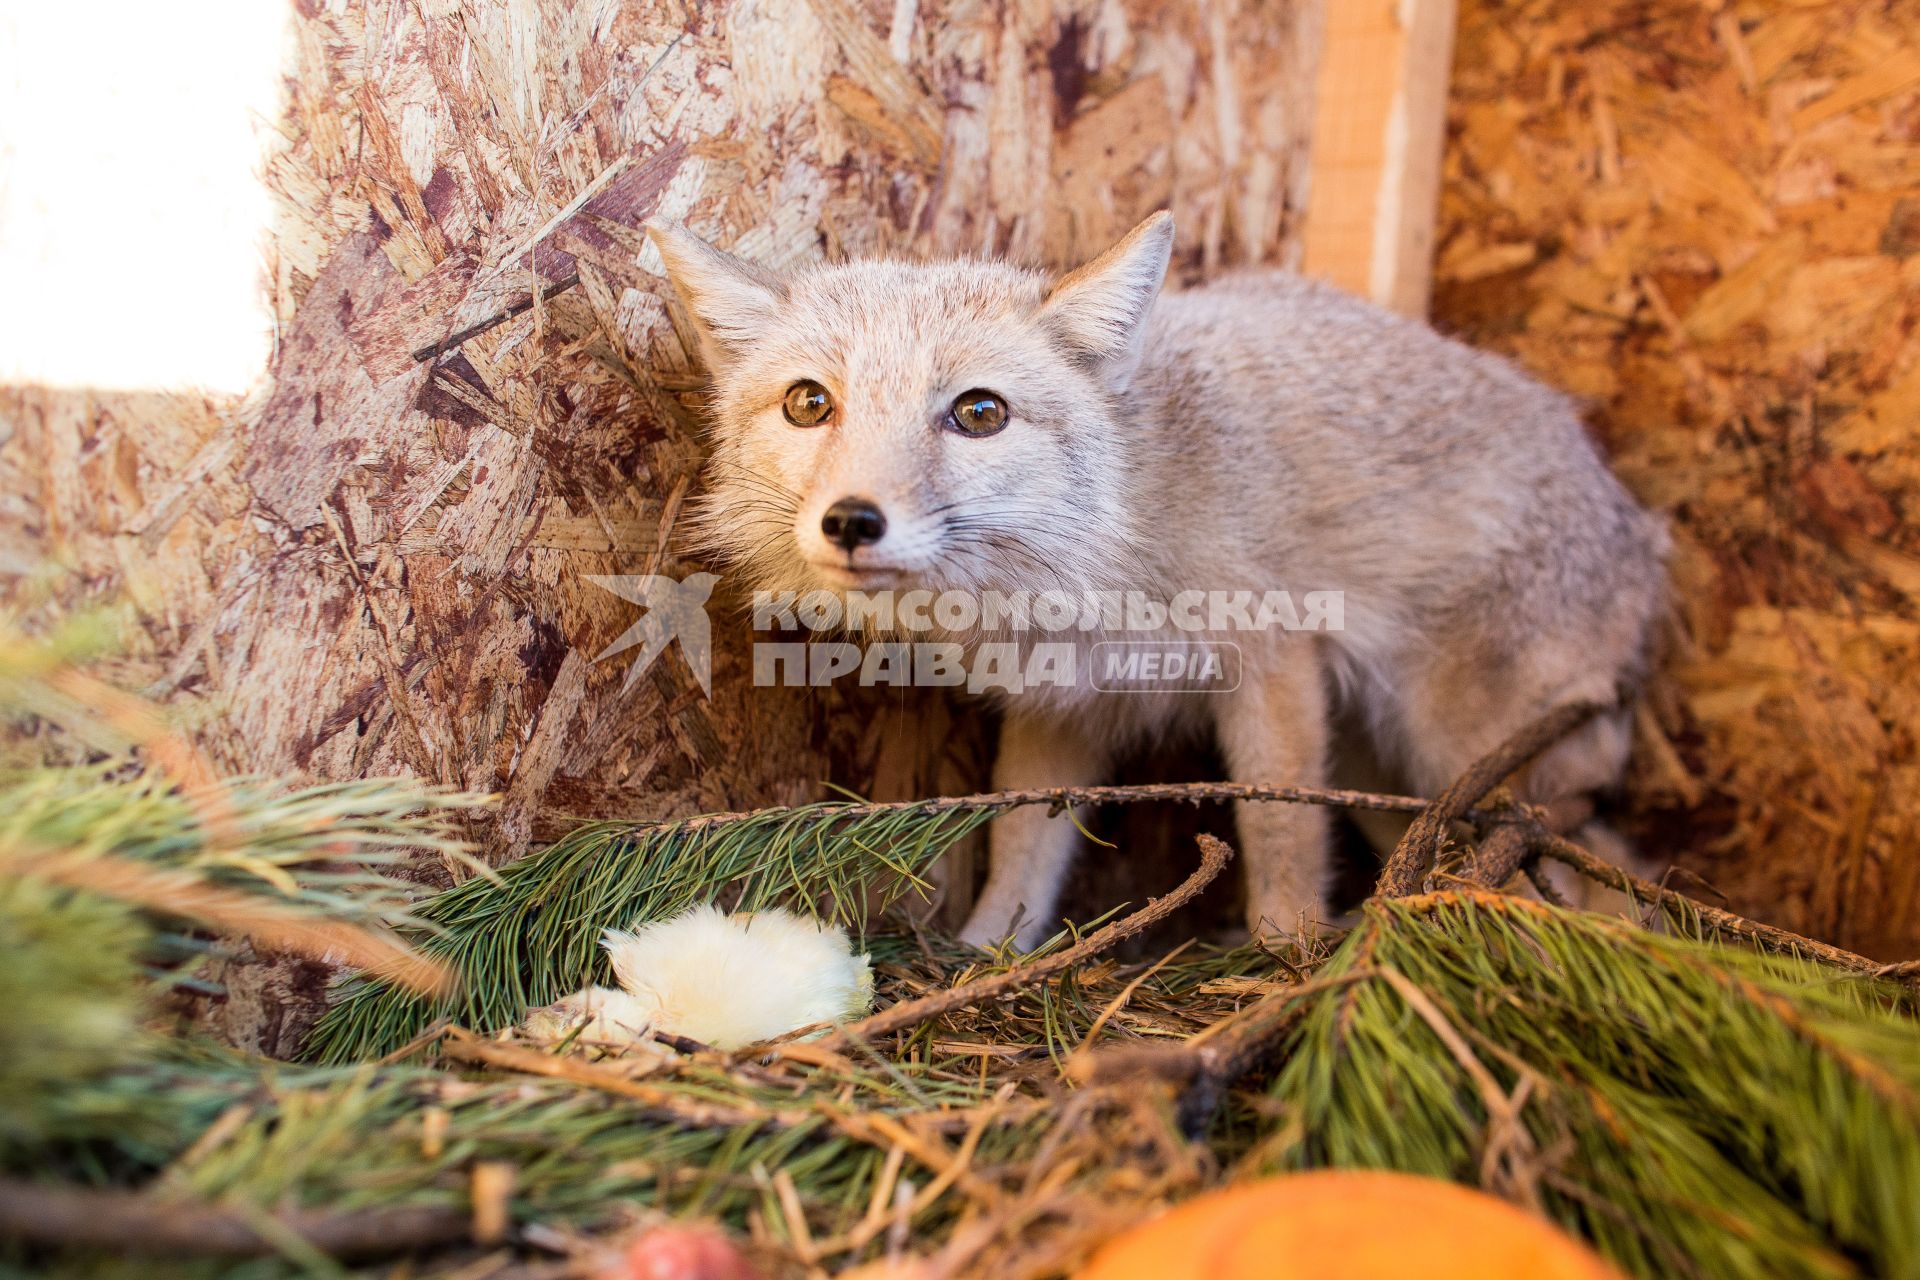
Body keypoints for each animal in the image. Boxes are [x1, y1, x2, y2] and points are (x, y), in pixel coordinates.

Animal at [645, 213, 1666, 951]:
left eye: (978, 413)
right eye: (808, 403)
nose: (853, 521)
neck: (1118, 536)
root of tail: (1639, 524)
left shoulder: (1271, 666)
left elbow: (1279, 833)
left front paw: (1286, 952)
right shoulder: (1062, 706)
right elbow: (1022, 848)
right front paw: (986, 953)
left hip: (1465, 755)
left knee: (1597, 869)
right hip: (1391, 776)